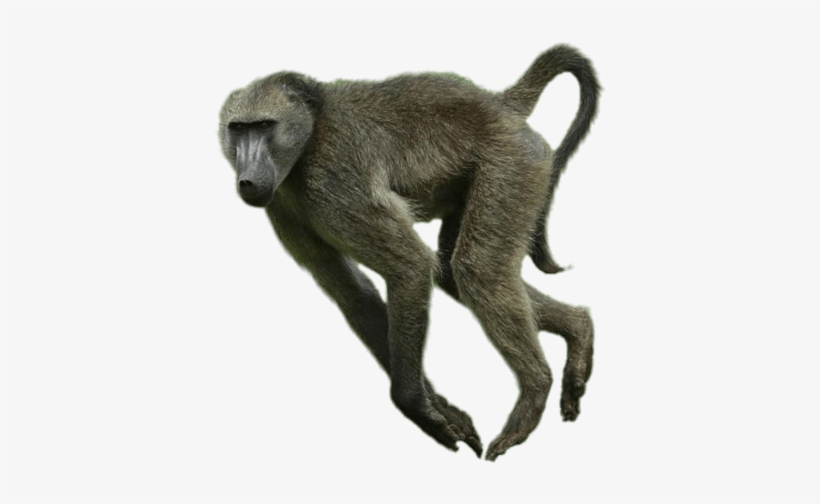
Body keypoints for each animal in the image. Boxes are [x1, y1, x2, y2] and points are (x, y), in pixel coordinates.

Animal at [218, 45, 599, 461]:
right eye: (238, 129)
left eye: (264, 126)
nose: (247, 180)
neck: (311, 133)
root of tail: (499, 103)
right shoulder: (283, 203)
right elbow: (354, 294)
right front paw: (442, 408)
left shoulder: (334, 180)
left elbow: (410, 266)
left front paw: (418, 407)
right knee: (453, 272)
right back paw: (578, 329)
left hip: (514, 161)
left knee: (476, 269)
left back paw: (535, 390)